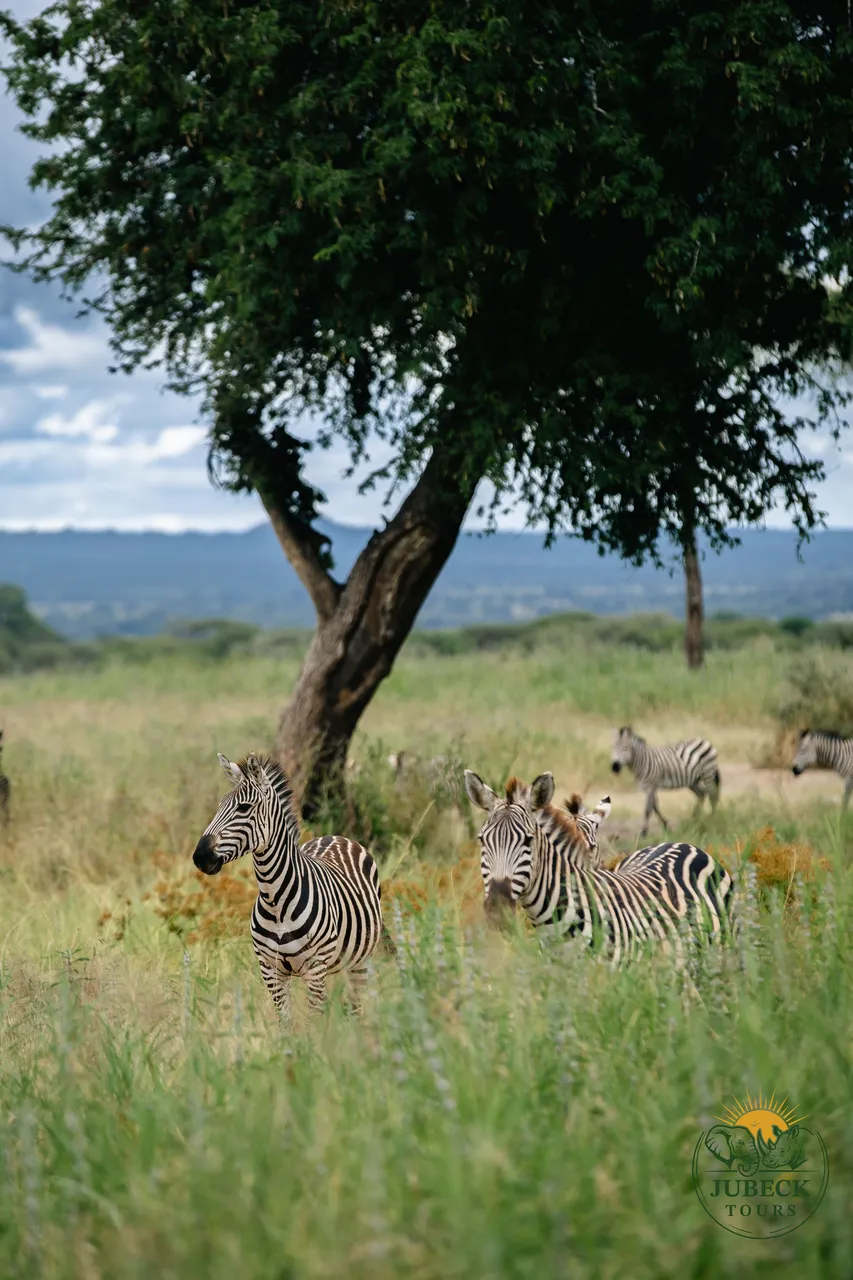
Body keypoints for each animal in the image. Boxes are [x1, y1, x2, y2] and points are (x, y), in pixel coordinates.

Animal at [193, 752, 386, 1017]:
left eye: (243, 808)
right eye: (220, 806)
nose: (200, 857)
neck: (275, 899)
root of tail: (336, 836)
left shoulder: (314, 968)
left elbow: (312, 1021)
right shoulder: (270, 970)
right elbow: (286, 1022)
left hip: (359, 961)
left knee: (355, 1008)